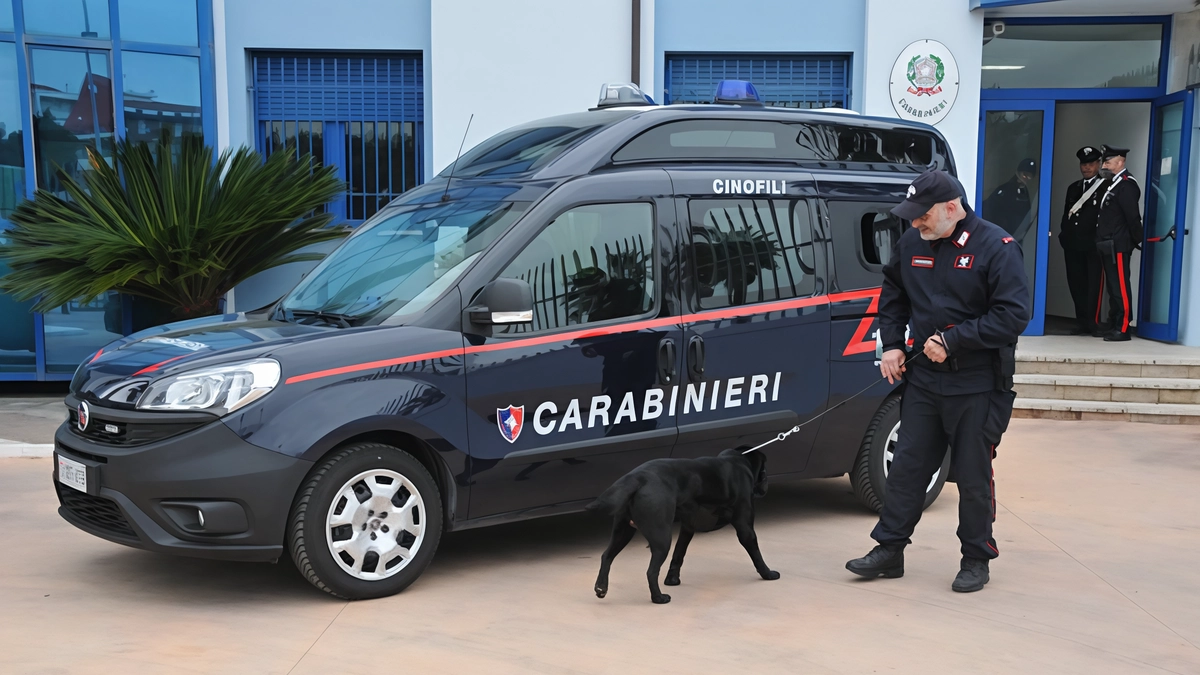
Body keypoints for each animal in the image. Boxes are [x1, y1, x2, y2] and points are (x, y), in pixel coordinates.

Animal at [588, 444, 777, 600]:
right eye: (764, 469)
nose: (766, 485)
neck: (737, 460)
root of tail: (636, 478)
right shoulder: (745, 528)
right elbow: (756, 554)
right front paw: (767, 574)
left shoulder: (687, 527)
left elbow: (679, 552)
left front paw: (672, 579)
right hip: (661, 538)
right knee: (651, 571)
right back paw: (659, 598)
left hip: (623, 531)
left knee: (607, 556)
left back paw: (601, 587)